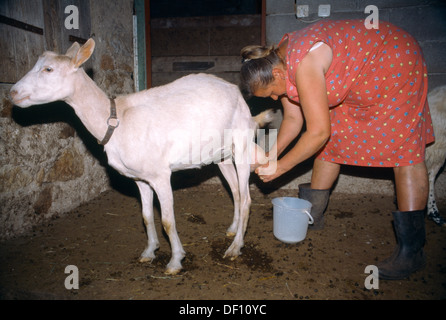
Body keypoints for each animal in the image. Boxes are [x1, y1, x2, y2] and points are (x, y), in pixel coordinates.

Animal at [10, 38, 270, 276]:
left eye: (48, 69)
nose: (12, 92)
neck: (116, 121)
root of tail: (236, 93)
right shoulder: (140, 178)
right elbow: (146, 216)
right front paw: (149, 252)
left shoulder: (160, 175)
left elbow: (167, 220)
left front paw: (175, 261)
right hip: (222, 154)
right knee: (235, 191)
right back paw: (232, 229)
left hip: (242, 144)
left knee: (246, 198)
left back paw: (234, 248)